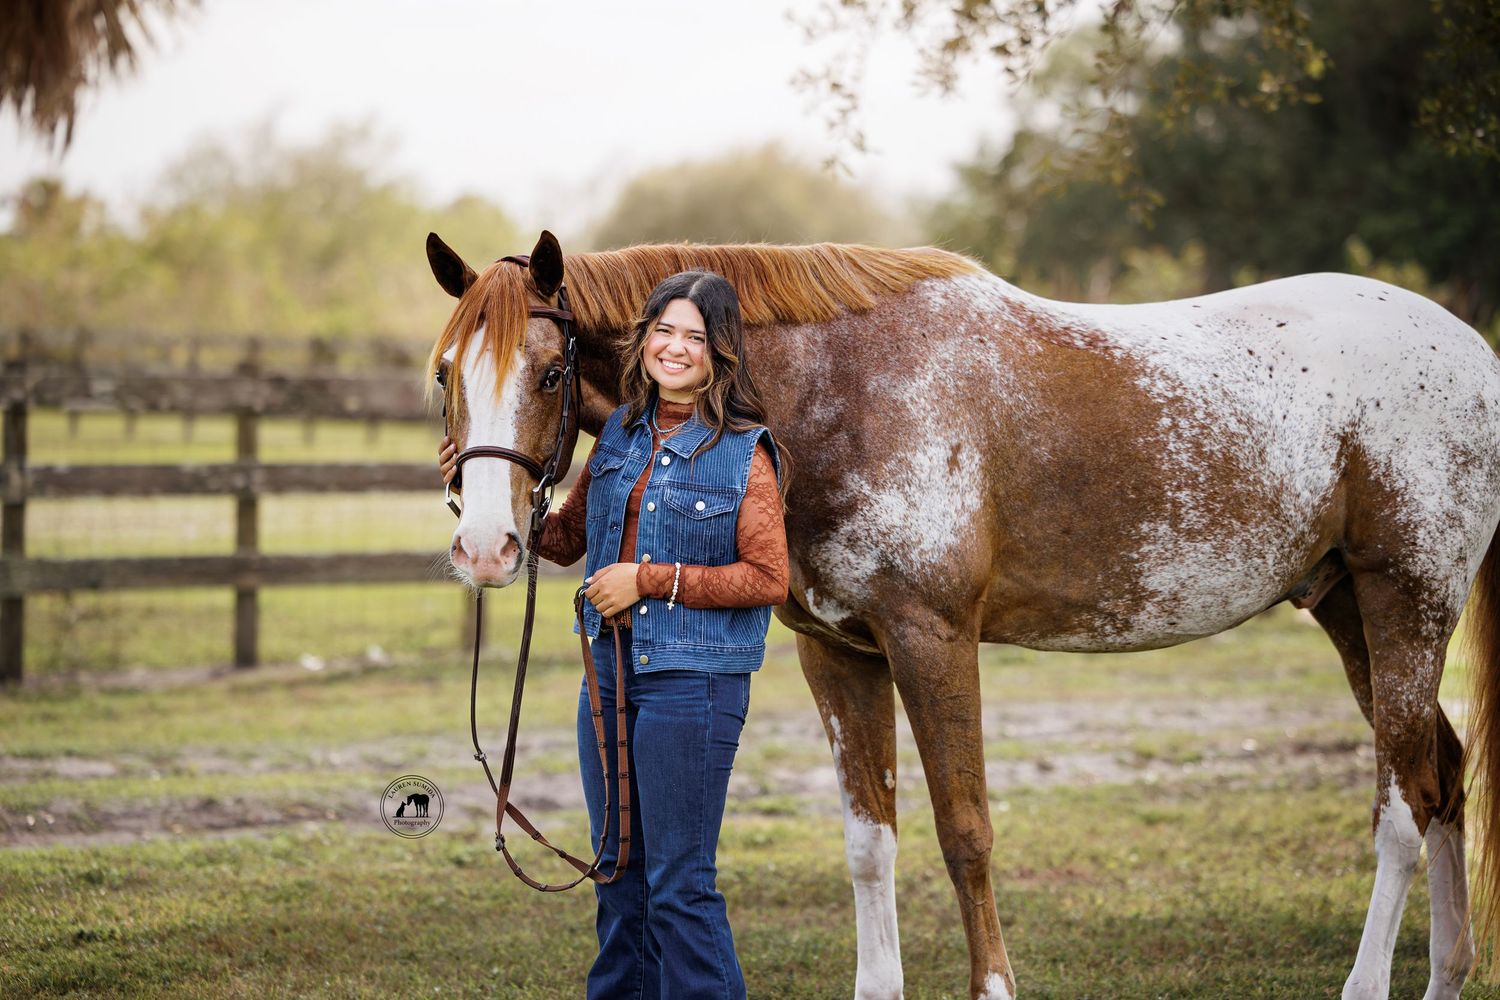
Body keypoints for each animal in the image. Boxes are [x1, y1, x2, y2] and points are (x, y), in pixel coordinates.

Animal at [425, 229, 1500, 1000]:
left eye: (550, 373)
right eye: (444, 374)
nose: (485, 546)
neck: (835, 390)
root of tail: (1472, 354)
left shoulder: (932, 639)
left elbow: (964, 830)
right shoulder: (841, 656)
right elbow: (871, 841)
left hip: (1408, 599)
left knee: (1402, 804)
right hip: (1346, 605)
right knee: (1443, 774)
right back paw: (1448, 975)